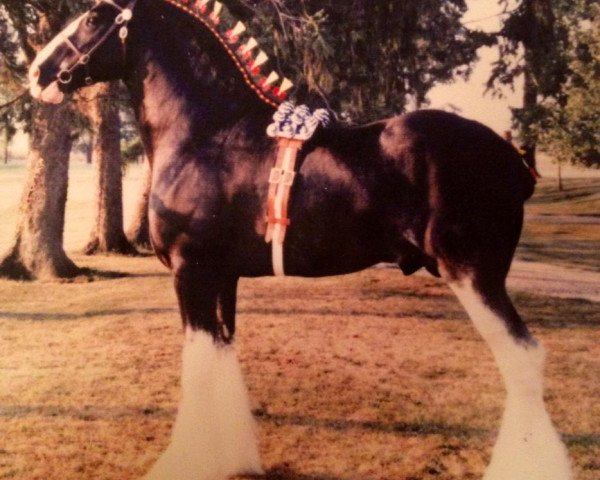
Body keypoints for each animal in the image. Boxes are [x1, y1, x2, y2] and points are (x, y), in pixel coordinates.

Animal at [27, 0, 572, 480]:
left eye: (95, 16)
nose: (38, 71)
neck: (207, 133)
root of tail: (513, 158)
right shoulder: (221, 277)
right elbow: (222, 357)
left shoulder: (190, 272)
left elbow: (198, 366)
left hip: (473, 274)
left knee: (524, 358)